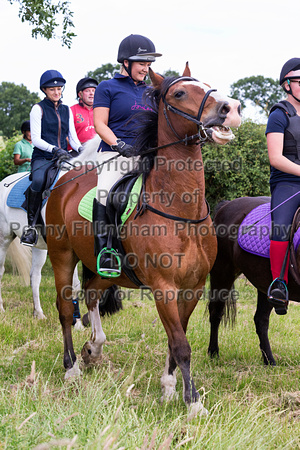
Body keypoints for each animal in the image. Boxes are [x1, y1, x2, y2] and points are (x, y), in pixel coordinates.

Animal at [45, 65, 241, 416]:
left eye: (206, 84)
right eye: (180, 93)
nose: (230, 109)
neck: (180, 209)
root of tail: (66, 180)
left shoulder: (193, 286)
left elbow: (176, 339)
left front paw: (169, 387)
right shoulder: (164, 287)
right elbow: (181, 344)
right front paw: (193, 403)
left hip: (109, 270)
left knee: (92, 294)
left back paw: (94, 348)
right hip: (62, 256)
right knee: (66, 309)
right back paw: (71, 368)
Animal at [207, 196, 300, 366]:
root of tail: (226, 205)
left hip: (264, 283)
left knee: (261, 320)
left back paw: (269, 361)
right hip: (222, 273)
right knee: (216, 312)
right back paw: (213, 353)